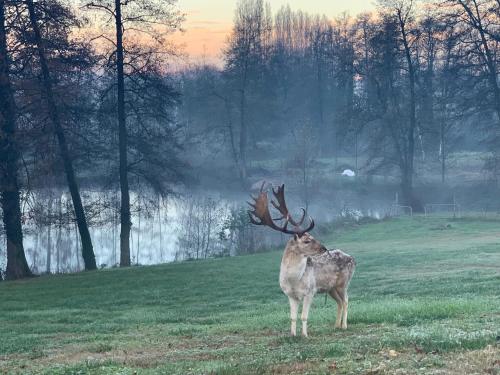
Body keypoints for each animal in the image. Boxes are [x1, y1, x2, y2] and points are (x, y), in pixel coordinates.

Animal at [248, 185, 354, 338]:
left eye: (312, 236)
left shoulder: (310, 291)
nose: (324, 248)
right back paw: (336, 326)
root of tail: (352, 258)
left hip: (343, 283)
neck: (293, 280)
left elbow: (304, 316)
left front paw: (305, 335)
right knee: (339, 302)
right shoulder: (290, 295)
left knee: (346, 301)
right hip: (331, 288)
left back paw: (344, 326)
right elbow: (292, 317)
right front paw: (292, 335)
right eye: (306, 240)